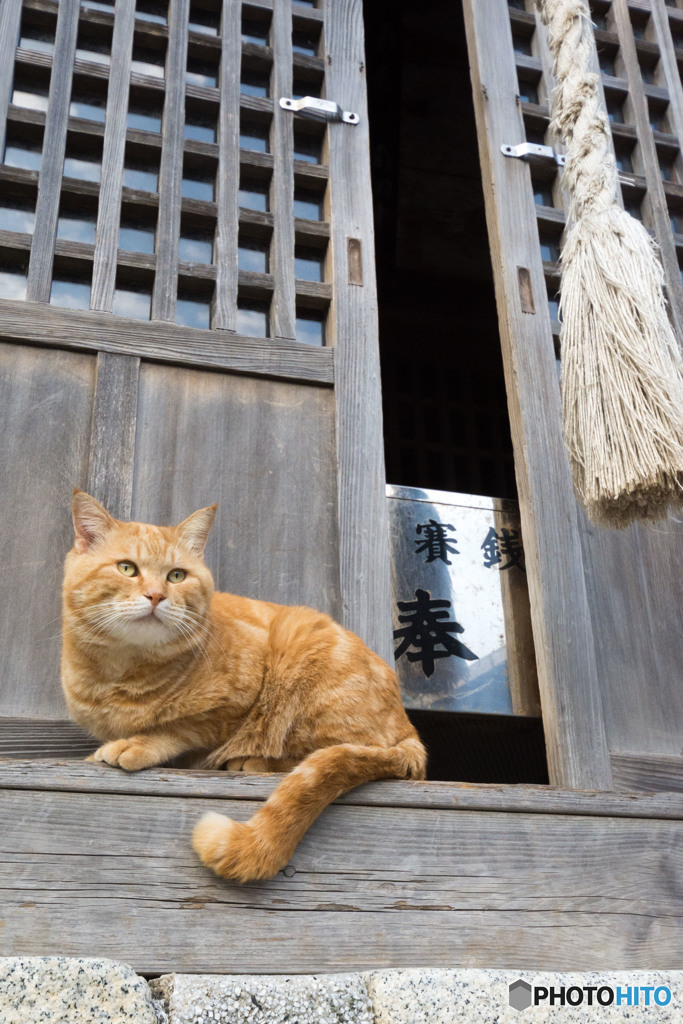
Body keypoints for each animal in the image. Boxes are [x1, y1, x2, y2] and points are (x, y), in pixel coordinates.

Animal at [63, 487, 428, 880]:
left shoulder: (230, 706)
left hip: (302, 650)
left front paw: (137, 743)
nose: (157, 596)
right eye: (127, 568)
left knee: (341, 750)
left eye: (176, 575)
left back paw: (251, 762)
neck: (121, 671)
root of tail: (410, 728)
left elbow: (181, 728)